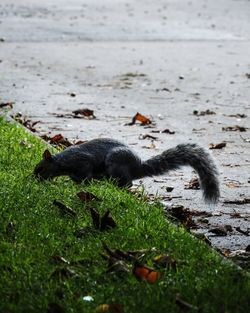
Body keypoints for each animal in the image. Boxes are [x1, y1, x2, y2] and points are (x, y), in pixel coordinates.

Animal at [34, 137, 220, 202]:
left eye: (41, 168)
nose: (34, 179)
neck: (62, 161)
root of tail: (137, 167)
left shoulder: (83, 163)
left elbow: (84, 176)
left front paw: (73, 183)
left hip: (115, 163)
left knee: (127, 183)